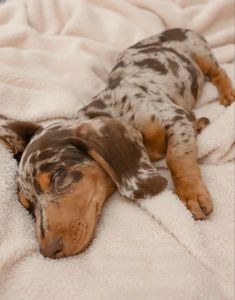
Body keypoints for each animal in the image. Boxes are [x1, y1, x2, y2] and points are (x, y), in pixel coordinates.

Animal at [0, 28, 234, 258]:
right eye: (27, 205)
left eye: (58, 176)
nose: (47, 252)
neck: (117, 109)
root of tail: (173, 29)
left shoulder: (176, 116)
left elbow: (177, 158)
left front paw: (192, 194)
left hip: (201, 54)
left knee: (218, 71)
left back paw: (227, 93)